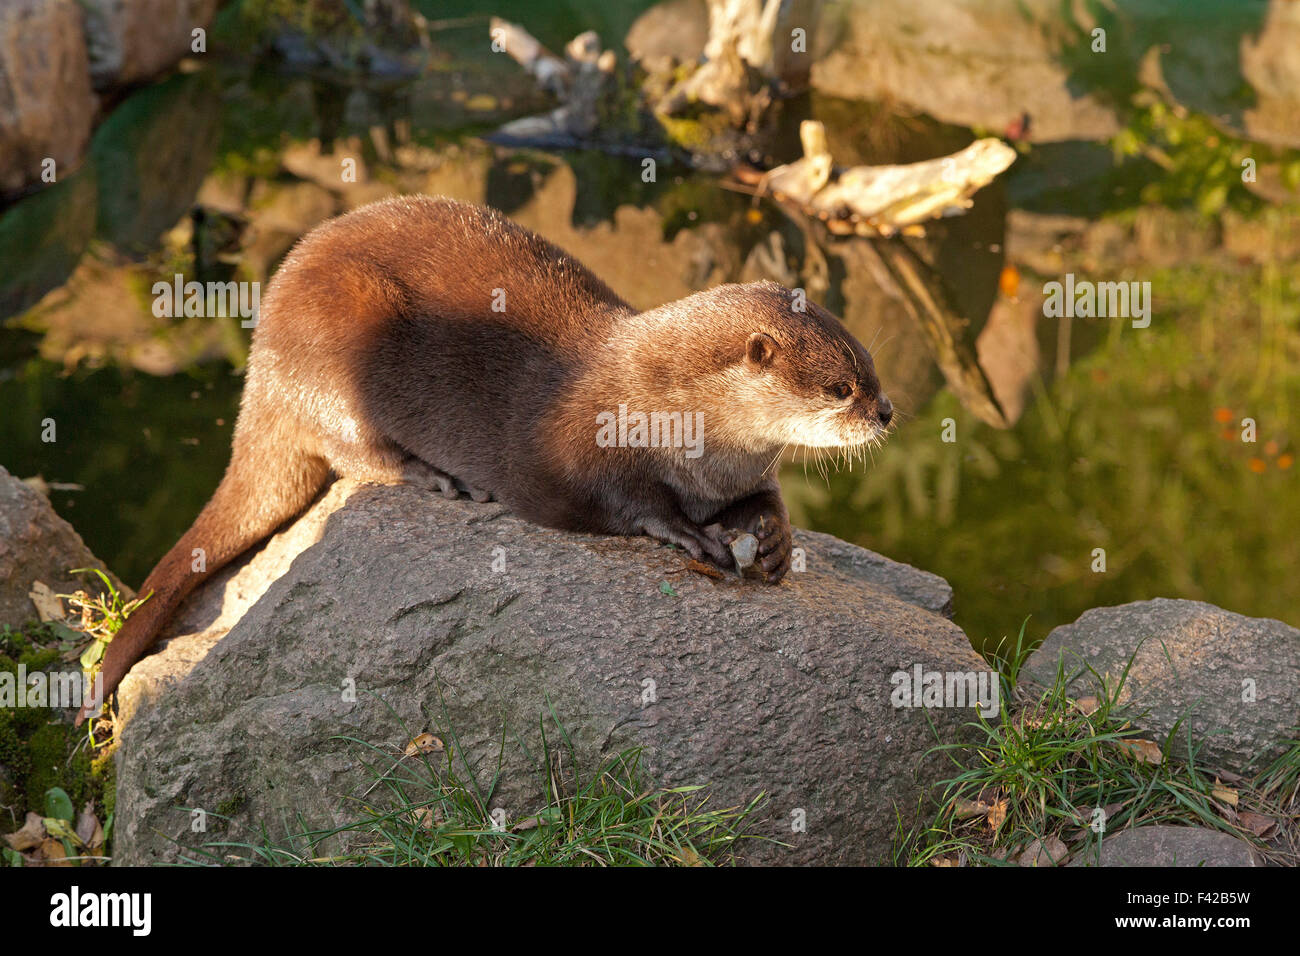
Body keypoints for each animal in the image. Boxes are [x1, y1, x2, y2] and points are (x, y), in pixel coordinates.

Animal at [81, 197, 894, 728]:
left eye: (873, 369)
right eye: (840, 387)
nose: (886, 412)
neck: (677, 419)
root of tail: (261, 361)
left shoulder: (740, 470)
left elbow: (765, 500)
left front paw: (775, 538)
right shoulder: (573, 447)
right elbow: (612, 501)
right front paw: (687, 533)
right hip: (335, 333)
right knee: (346, 449)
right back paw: (436, 477)